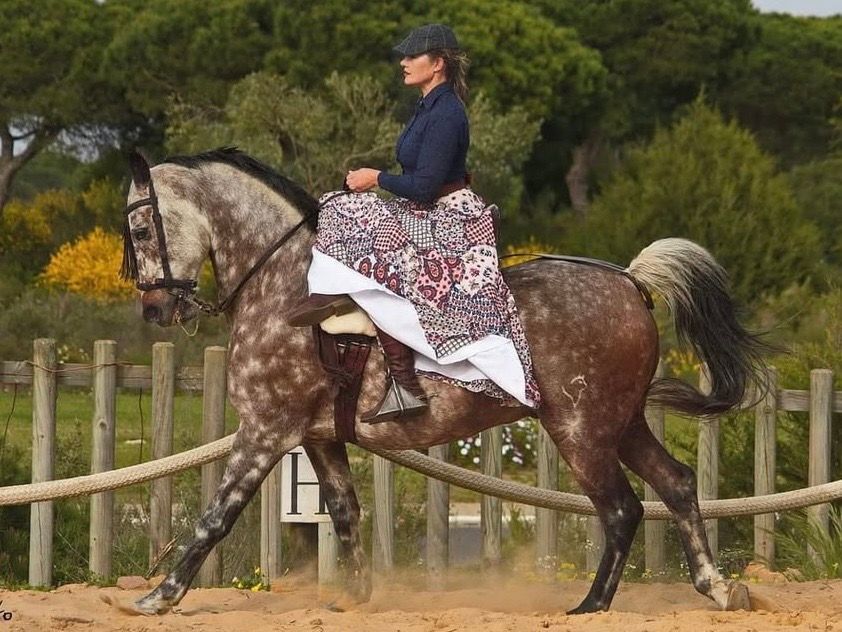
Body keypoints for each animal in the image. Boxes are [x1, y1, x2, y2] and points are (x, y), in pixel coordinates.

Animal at [121, 147, 765, 616]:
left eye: (142, 231)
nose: (154, 310)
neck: (280, 283)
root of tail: (630, 281)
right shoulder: (318, 438)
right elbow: (346, 513)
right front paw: (356, 600)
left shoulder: (265, 431)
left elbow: (216, 516)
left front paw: (158, 597)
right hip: (621, 422)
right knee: (676, 485)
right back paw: (717, 588)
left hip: (579, 429)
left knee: (622, 509)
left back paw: (590, 606)